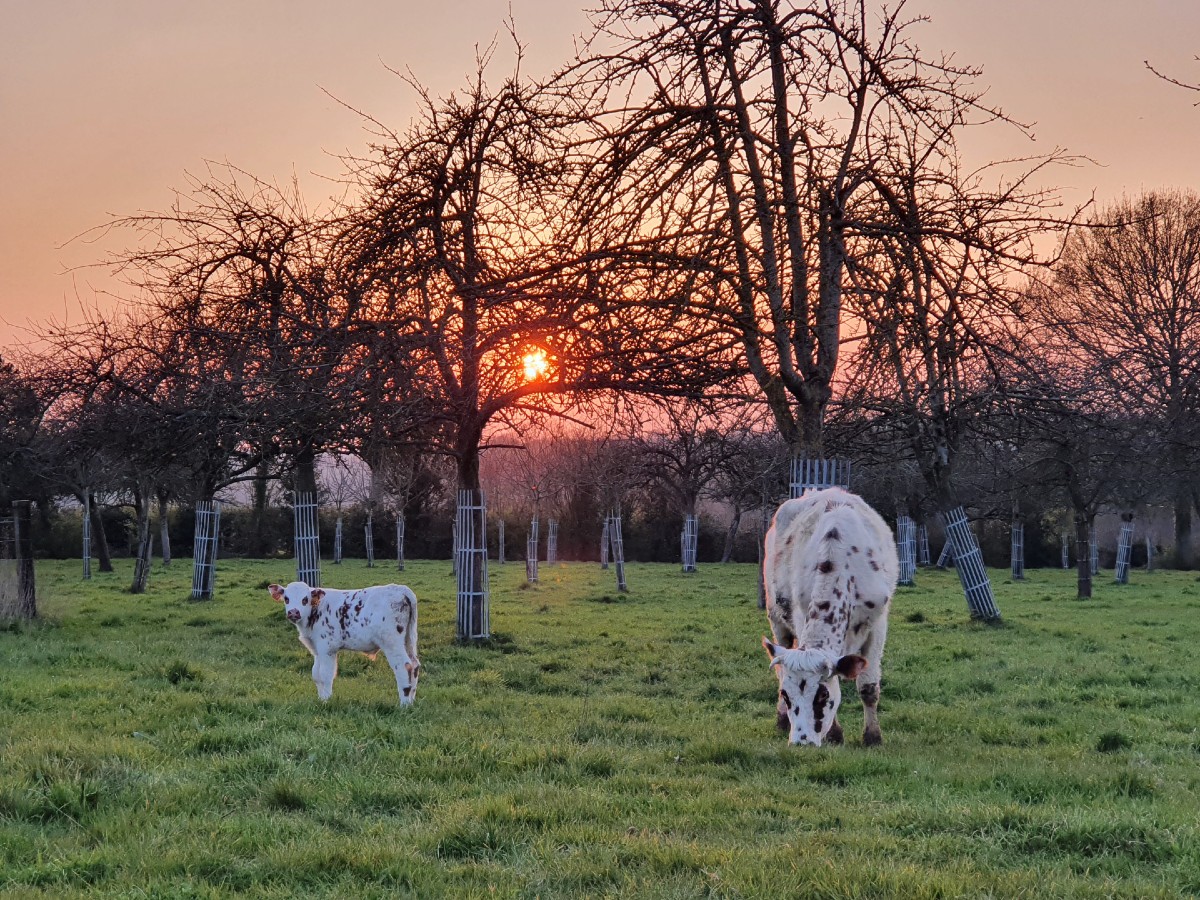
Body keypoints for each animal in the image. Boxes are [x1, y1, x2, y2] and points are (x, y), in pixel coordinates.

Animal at [268, 580, 422, 710]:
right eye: (286, 598)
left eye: (305, 599)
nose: (293, 612)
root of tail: (401, 589)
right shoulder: (317, 650)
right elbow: (316, 674)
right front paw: (320, 700)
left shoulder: (327, 648)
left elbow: (325, 675)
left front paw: (326, 701)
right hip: (408, 639)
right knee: (414, 665)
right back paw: (411, 701)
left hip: (391, 642)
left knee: (404, 666)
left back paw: (404, 705)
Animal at [763, 489, 897, 748]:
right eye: (786, 695)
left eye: (822, 695)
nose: (801, 742)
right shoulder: (800, 616)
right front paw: (835, 734)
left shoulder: (877, 626)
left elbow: (868, 688)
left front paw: (873, 737)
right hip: (776, 618)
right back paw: (782, 721)